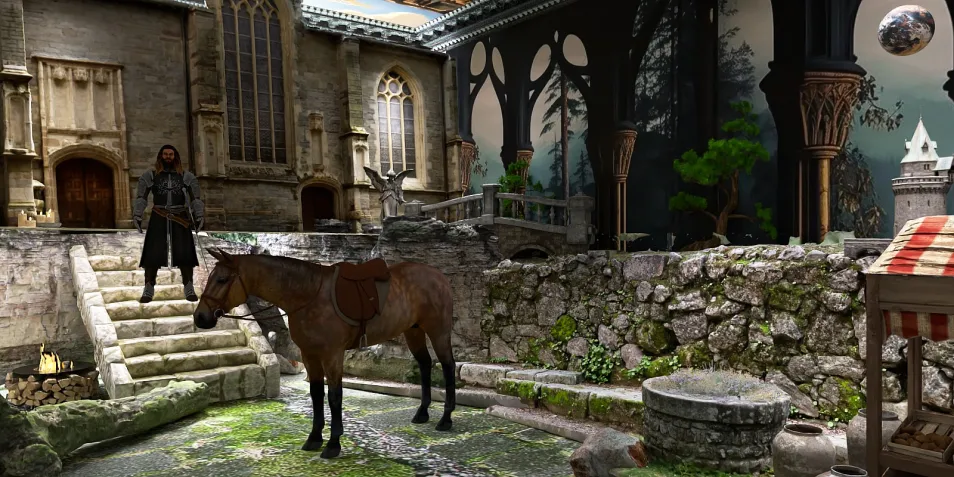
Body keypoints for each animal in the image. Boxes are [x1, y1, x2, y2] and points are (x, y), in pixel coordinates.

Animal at [192, 248, 457, 459]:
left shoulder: (332, 355)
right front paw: (314, 438)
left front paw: (333, 443)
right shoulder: (309, 355)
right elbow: (316, 394)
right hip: (414, 331)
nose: (200, 317)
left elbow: (334, 396)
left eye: (222, 279)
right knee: (425, 364)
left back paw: (446, 419)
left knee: (448, 366)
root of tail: (439, 276)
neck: (307, 294)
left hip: (438, 331)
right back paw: (422, 413)